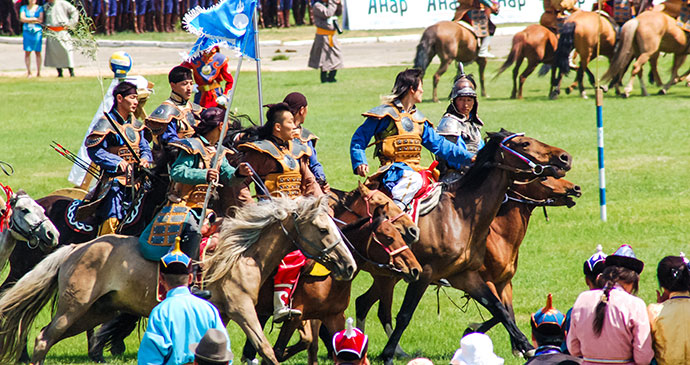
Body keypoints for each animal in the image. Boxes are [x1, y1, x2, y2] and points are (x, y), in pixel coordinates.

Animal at [242, 205, 422, 364]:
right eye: (390, 238)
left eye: (400, 235)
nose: (415, 269)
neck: (330, 279)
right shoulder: (295, 318)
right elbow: (280, 351)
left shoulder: (333, 317)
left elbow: (311, 343)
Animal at [358, 128, 572, 362]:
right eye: (524, 143)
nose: (565, 157)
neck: (461, 217)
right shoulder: (425, 274)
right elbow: (405, 314)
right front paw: (387, 354)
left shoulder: (468, 276)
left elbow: (500, 309)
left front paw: (526, 346)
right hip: (388, 276)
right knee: (377, 308)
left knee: (364, 302)